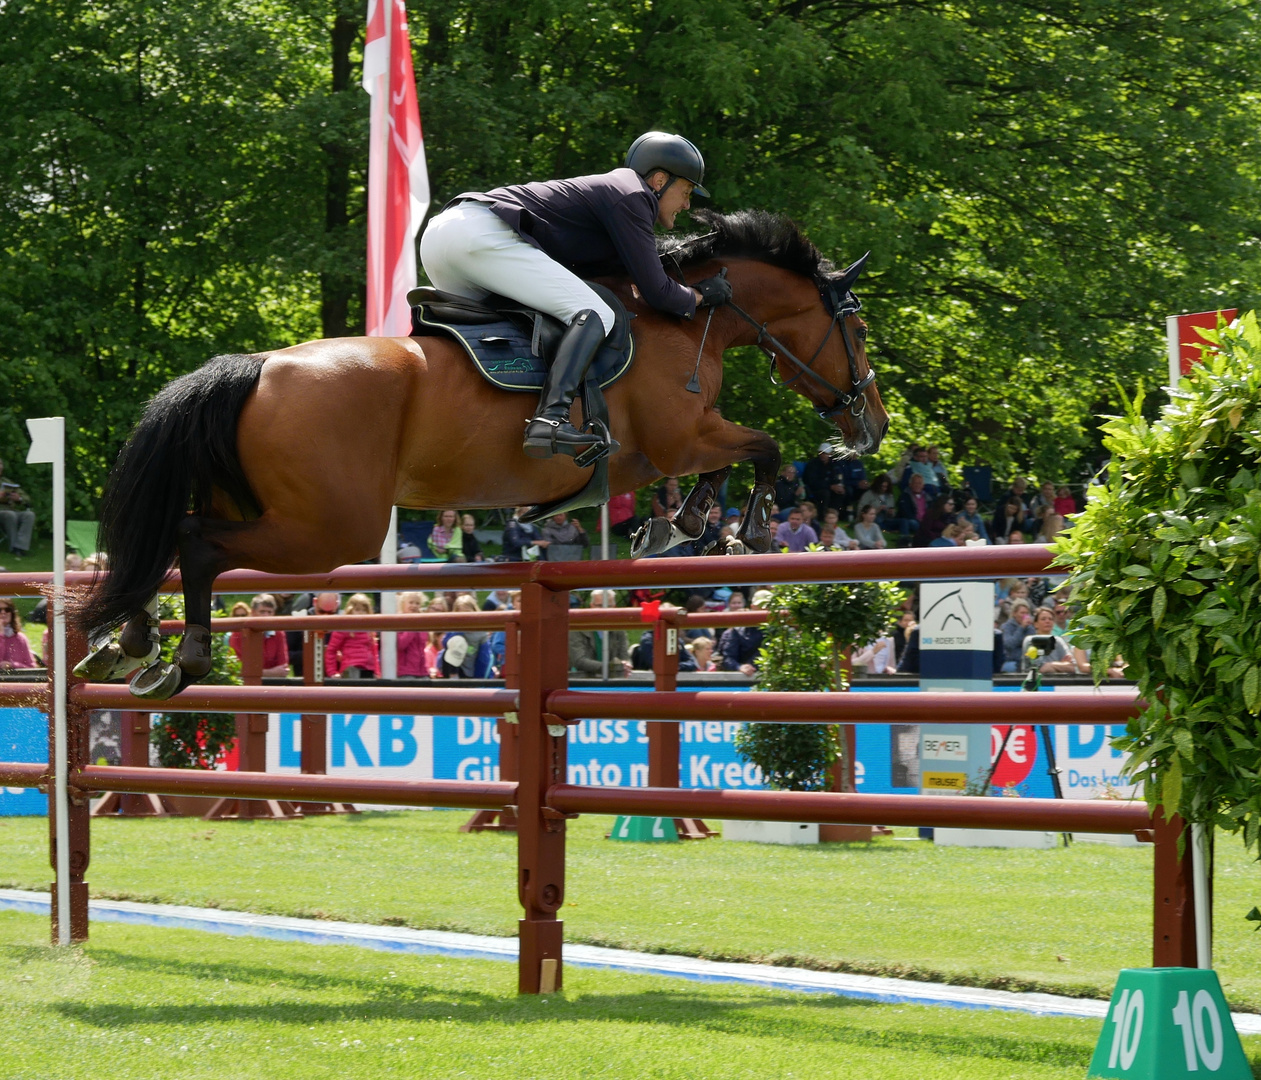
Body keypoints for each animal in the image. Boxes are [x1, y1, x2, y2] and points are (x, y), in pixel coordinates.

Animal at [73, 209, 892, 701]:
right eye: (855, 331)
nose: (874, 427)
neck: (686, 319)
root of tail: (256, 367)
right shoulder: (677, 436)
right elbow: (762, 448)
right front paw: (741, 529)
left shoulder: (677, 446)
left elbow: (726, 463)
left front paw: (676, 526)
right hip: (328, 531)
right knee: (195, 544)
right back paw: (180, 658)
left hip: (261, 504)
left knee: (168, 544)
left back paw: (126, 644)